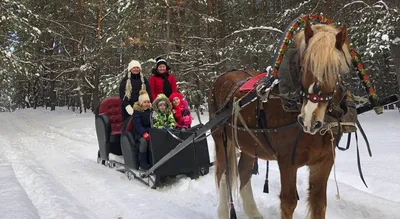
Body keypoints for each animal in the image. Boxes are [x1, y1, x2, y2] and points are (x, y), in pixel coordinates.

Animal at [211, 19, 352, 219]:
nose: (310, 120)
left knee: (243, 171)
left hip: (249, 144)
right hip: (221, 139)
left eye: (335, 71)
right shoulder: (287, 162)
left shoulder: (324, 162)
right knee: (224, 174)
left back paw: (253, 212)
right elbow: (288, 202)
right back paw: (224, 211)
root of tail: (224, 76)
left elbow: (319, 204)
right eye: (303, 66)